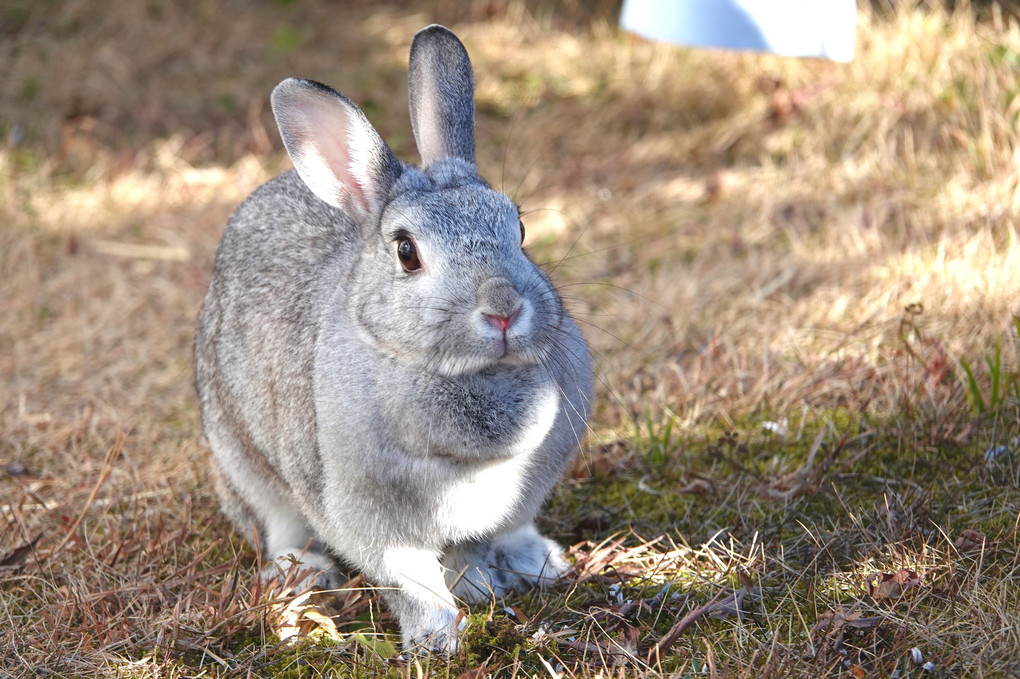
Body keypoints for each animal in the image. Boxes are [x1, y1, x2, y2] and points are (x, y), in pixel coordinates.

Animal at [191, 25, 595, 652]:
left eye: (520, 228)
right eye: (407, 252)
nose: (503, 309)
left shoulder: (504, 502)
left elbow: (471, 548)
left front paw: (479, 589)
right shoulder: (366, 514)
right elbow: (410, 579)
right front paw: (437, 638)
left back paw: (537, 560)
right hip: (238, 455)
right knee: (276, 522)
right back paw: (302, 574)